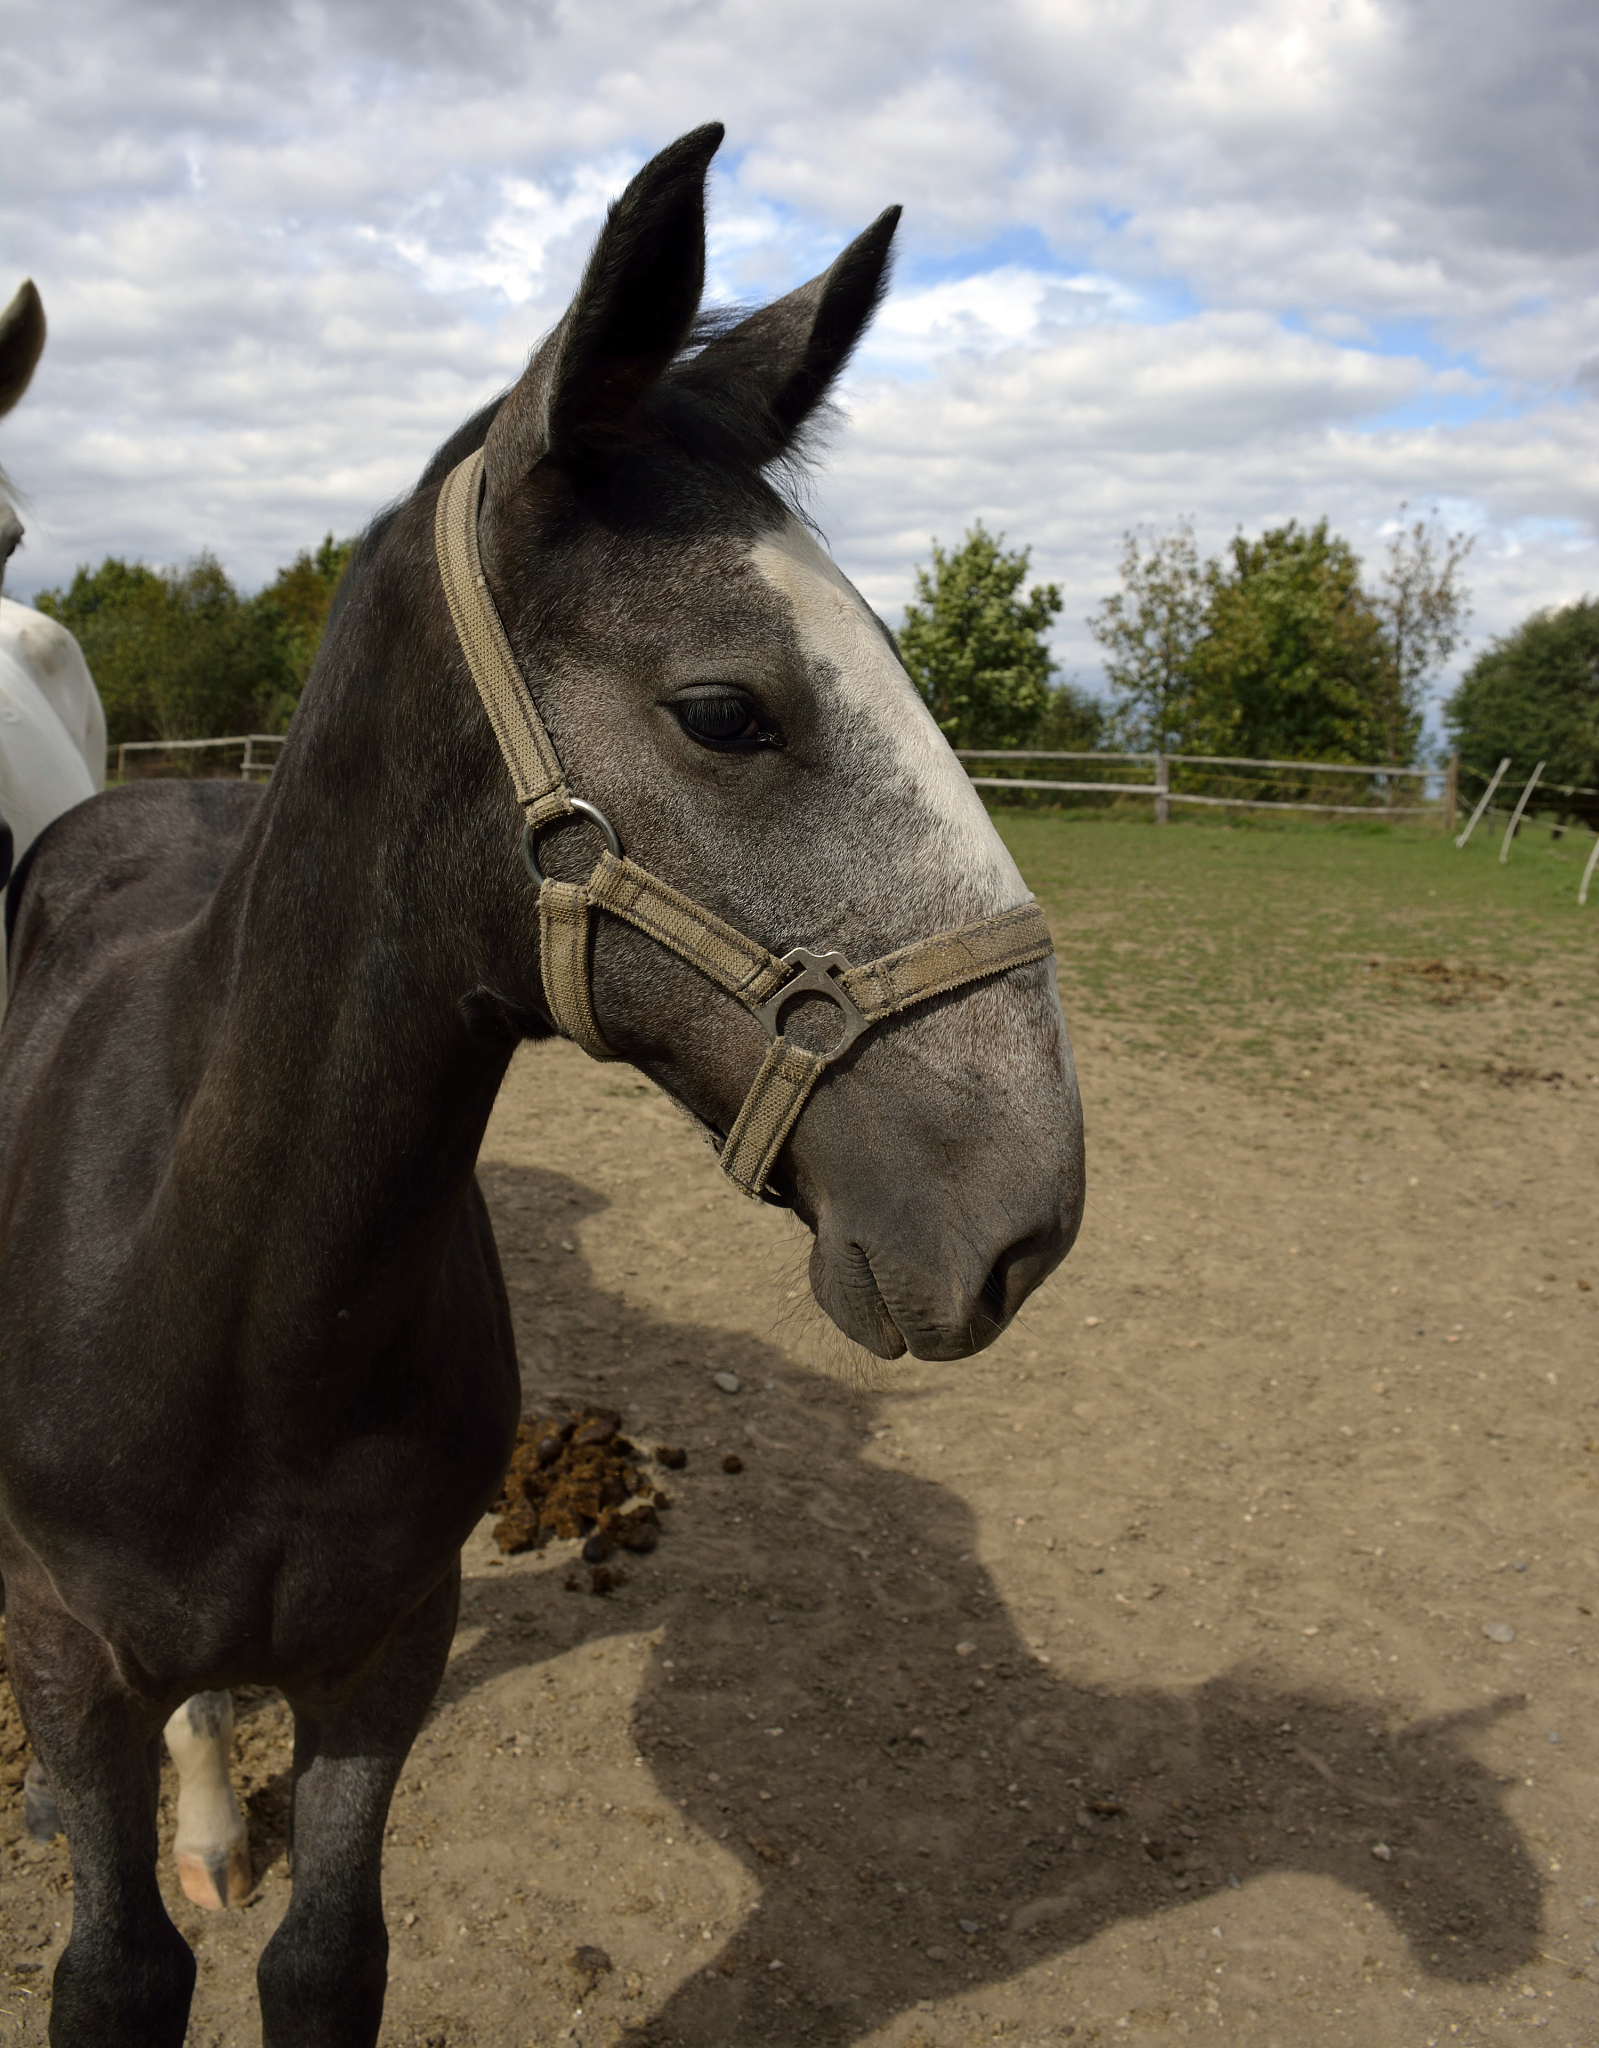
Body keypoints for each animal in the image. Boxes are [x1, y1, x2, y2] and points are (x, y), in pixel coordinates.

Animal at [0, 125, 1084, 2047]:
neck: (231, 1308)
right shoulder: (69, 1647)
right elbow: (119, 1969)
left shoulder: (390, 1649)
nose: (1025, 1217)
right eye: (725, 708)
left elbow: (328, 1962)